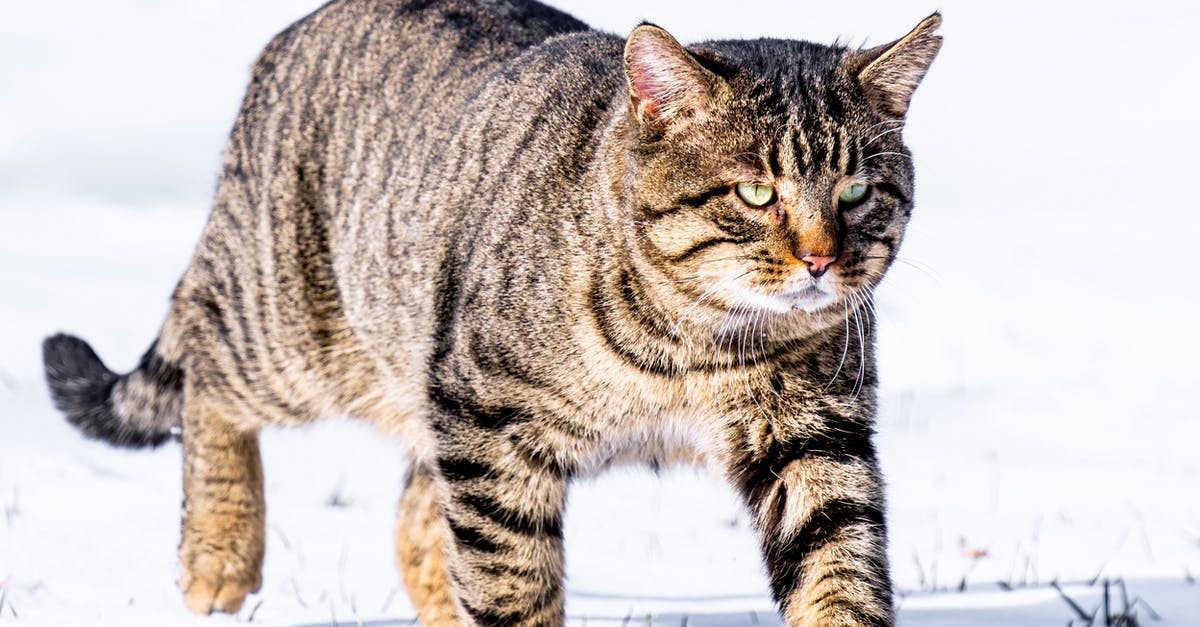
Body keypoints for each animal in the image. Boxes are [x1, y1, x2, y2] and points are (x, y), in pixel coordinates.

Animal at [42, 2, 940, 619]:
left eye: (858, 192)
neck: (691, 346)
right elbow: (511, 583)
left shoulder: (814, 438)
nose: (822, 258)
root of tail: (293, 35)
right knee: (209, 375)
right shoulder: (492, 424)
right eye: (756, 192)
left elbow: (838, 572)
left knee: (416, 523)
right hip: (292, 331)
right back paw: (219, 555)